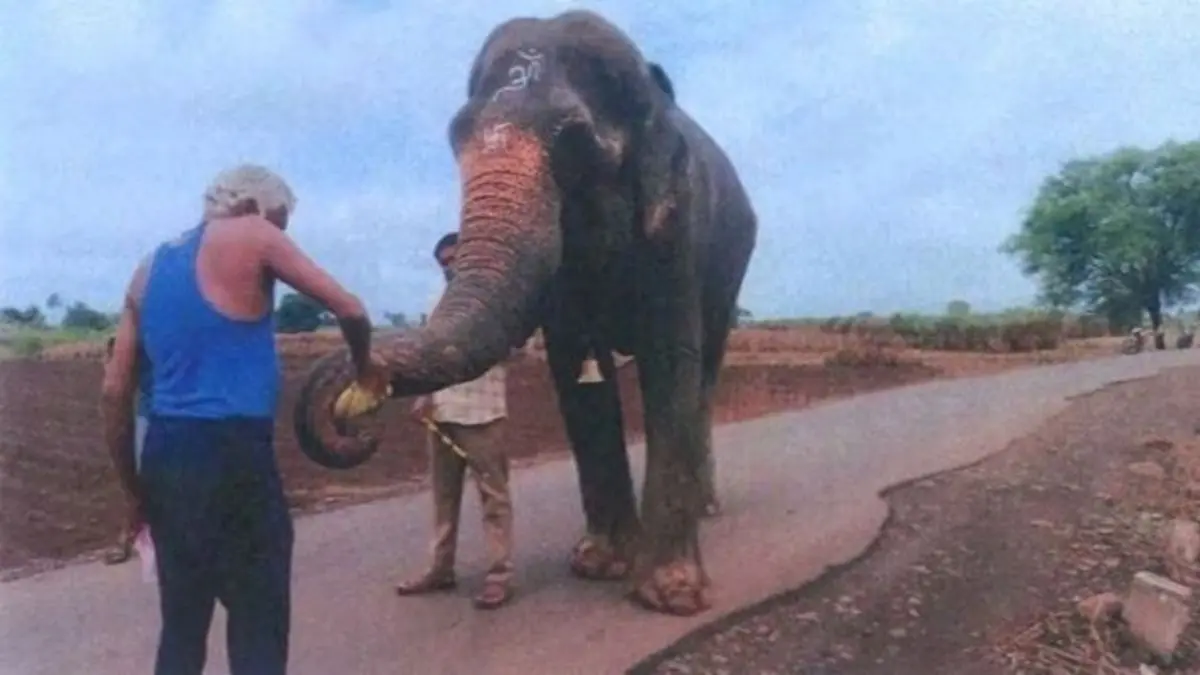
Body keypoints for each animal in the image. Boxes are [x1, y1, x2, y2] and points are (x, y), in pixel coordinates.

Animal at [293, 10, 757, 616]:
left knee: (705, 372)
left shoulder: (679, 223)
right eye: (455, 136)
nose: (353, 406)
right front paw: (598, 566)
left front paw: (671, 596)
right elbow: (573, 370)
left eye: (574, 139)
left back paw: (708, 508)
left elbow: (670, 357)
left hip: (732, 262)